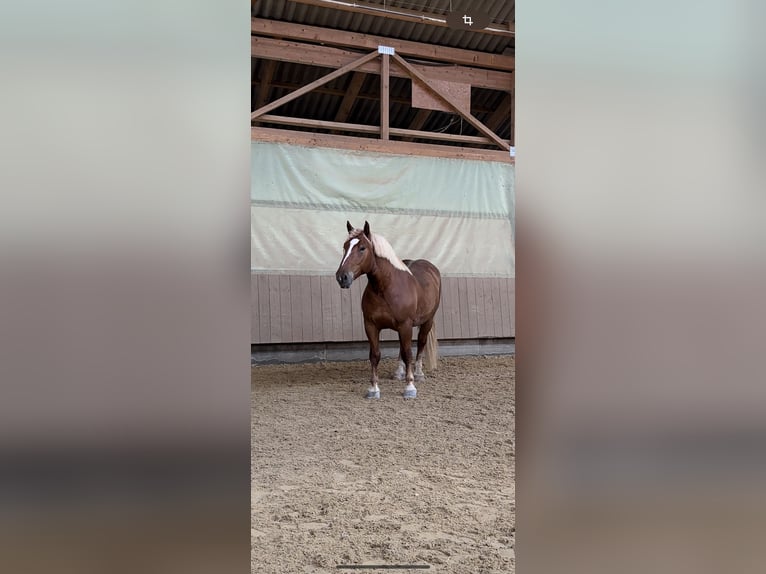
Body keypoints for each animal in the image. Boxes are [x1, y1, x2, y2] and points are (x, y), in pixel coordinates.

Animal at [336, 222, 444, 400]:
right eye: (345, 247)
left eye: (362, 248)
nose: (342, 277)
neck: (386, 287)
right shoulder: (371, 326)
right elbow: (375, 355)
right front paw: (373, 389)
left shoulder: (405, 325)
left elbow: (408, 353)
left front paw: (410, 387)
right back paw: (399, 372)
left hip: (426, 322)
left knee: (420, 344)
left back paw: (419, 374)